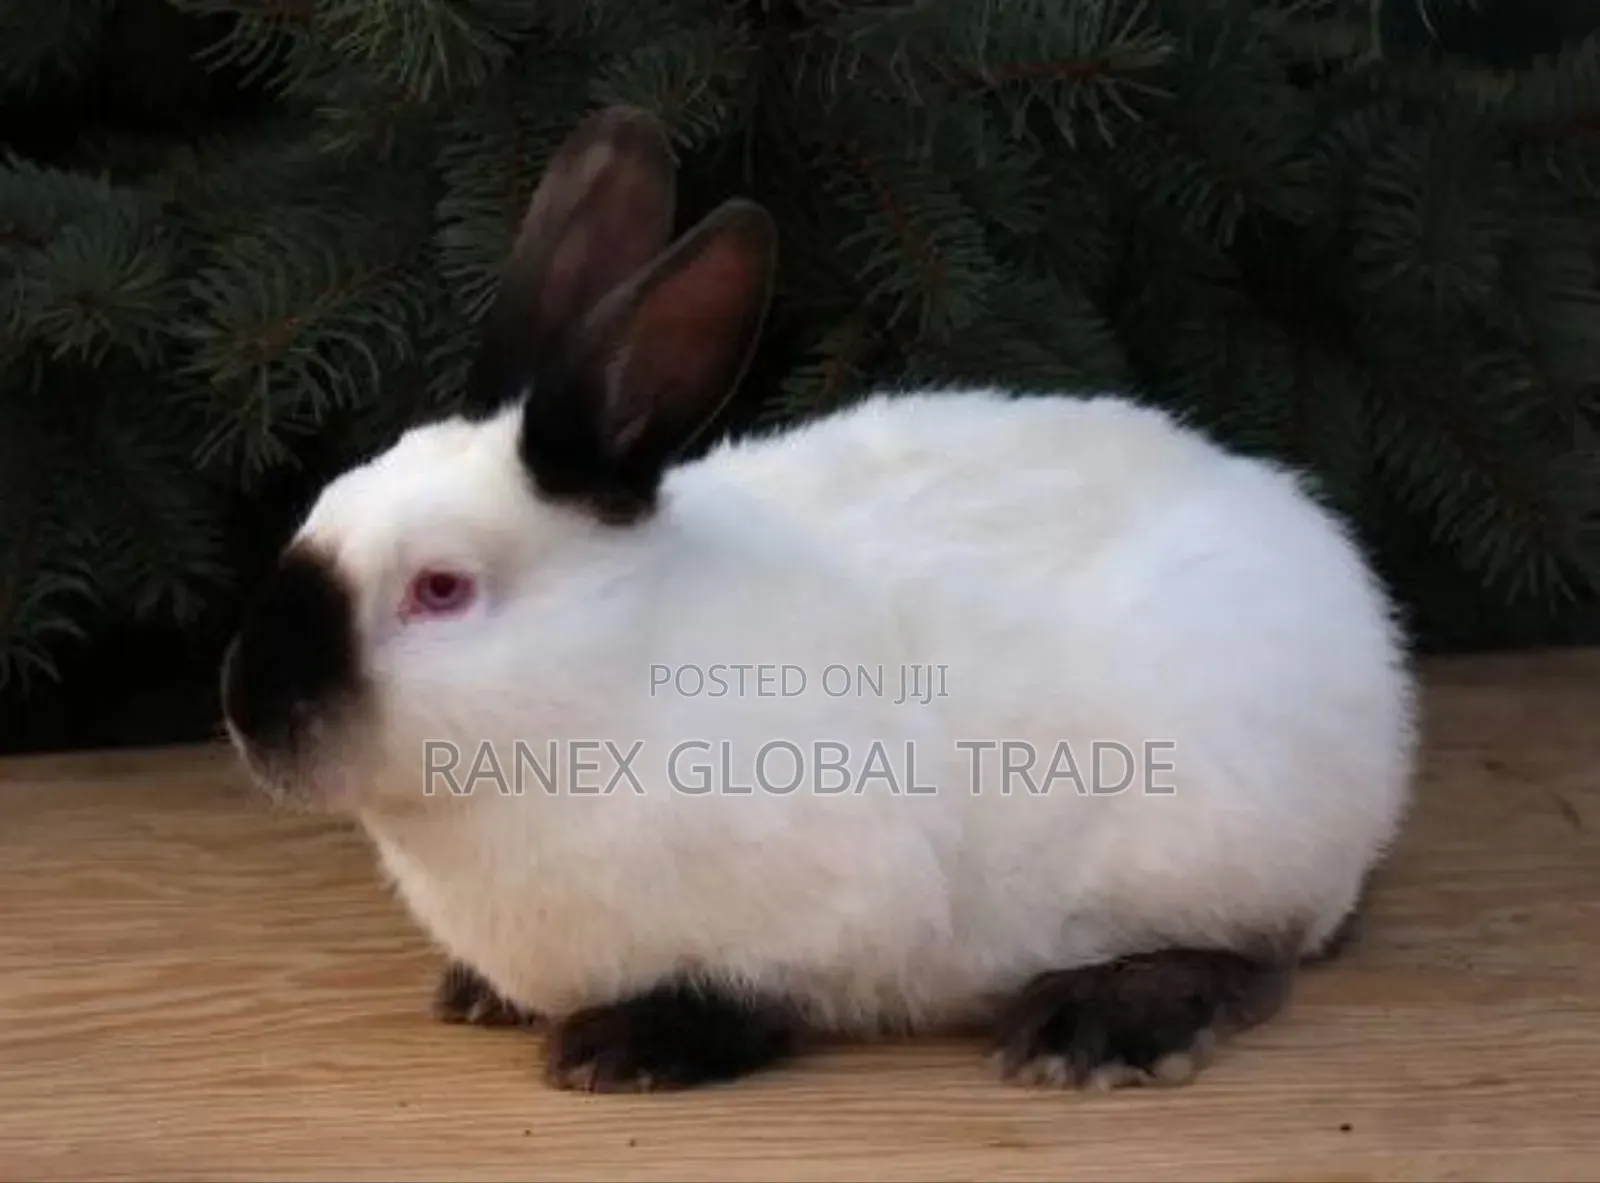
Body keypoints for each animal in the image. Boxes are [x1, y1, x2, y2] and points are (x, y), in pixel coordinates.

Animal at [219, 104, 1418, 1095]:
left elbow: (757, 994)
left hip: (1213, 833)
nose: (246, 711)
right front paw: (478, 990)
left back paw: (1094, 1028)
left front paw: (626, 1046)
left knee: (1253, 956)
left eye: (440, 588)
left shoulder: (833, 907)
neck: (606, 677)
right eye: (319, 511)